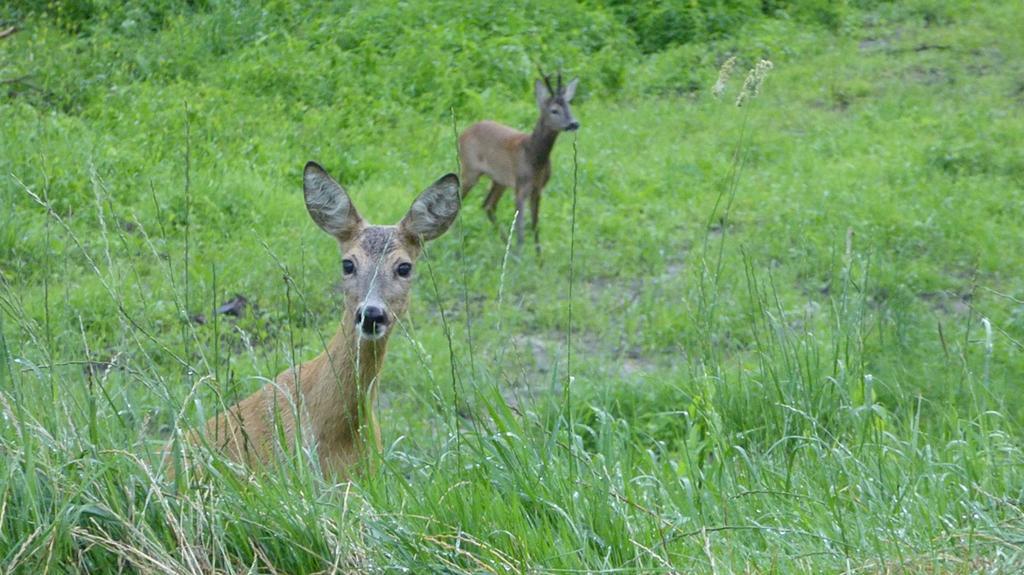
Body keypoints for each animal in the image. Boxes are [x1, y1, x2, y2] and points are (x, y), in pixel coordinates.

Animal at [460, 71, 581, 252]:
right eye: (554, 110)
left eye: (569, 106)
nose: (573, 123)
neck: (533, 156)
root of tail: (462, 134)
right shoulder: (520, 186)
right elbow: (520, 228)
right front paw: (520, 254)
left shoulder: (538, 188)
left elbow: (535, 225)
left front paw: (538, 257)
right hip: (470, 170)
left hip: (499, 180)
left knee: (488, 205)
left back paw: (507, 247)